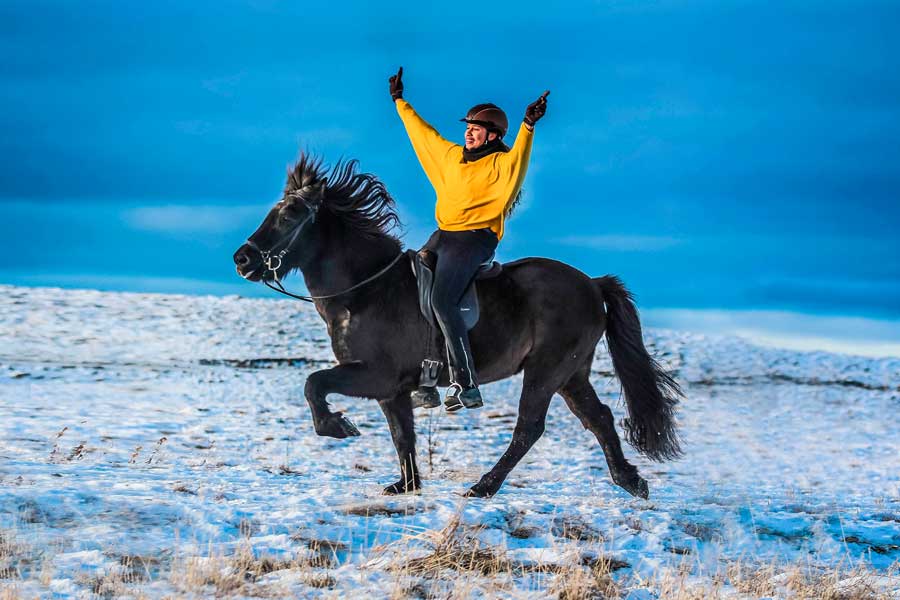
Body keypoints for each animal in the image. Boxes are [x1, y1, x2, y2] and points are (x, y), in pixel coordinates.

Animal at [232, 154, 683, 499]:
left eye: (290, 214)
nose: (242, 259)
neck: (366, 291)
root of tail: (591, 283)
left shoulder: (375, 375)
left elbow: (314, 383)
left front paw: (337, 426)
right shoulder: (393, 389)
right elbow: (402, 434)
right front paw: (406, 485)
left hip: (547, 369)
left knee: (529, 428)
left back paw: (483, 487)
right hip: (572, 373)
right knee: (599, 418)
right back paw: (630, 481)